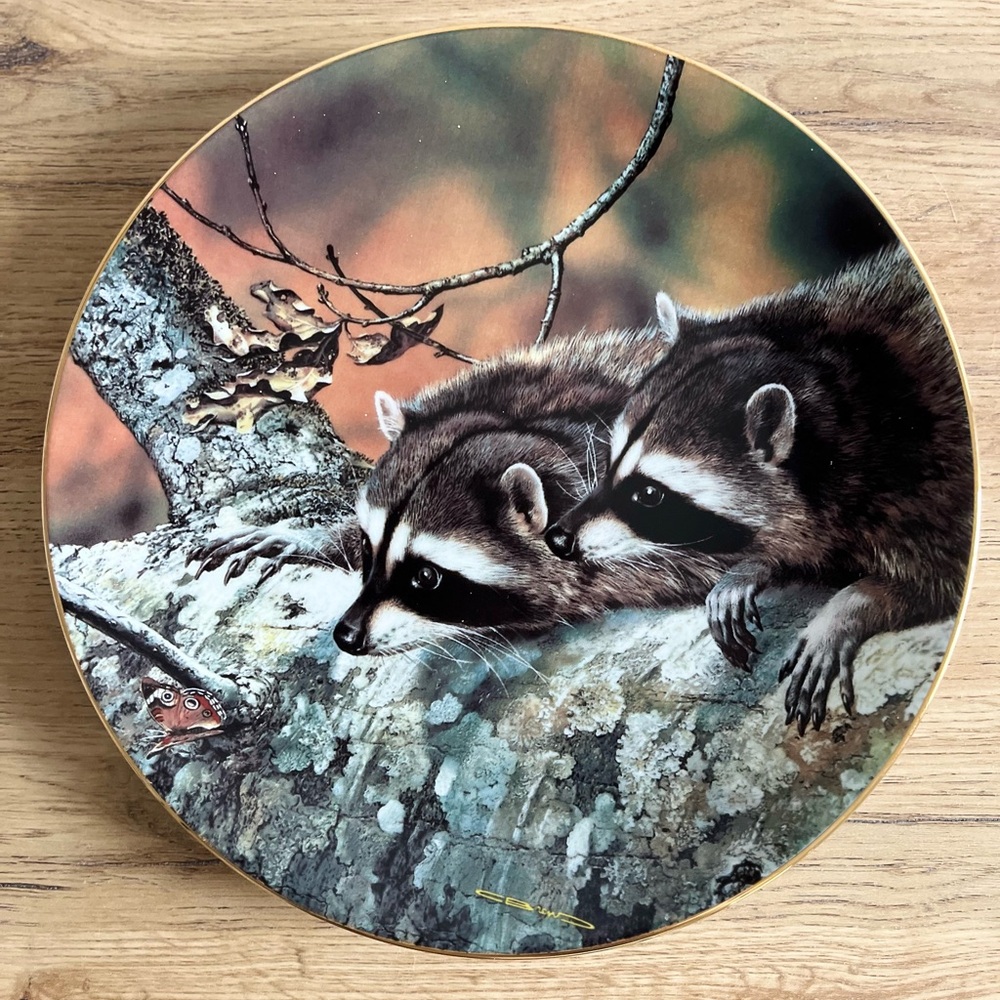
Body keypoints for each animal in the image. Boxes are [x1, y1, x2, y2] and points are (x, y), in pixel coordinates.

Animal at [545, 246, 974, 733]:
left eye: (650, 495)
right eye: (611, 458)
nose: (558, 537)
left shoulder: (932, 482)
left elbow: (936, 583)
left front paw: (848, 607)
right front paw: (756, 564)